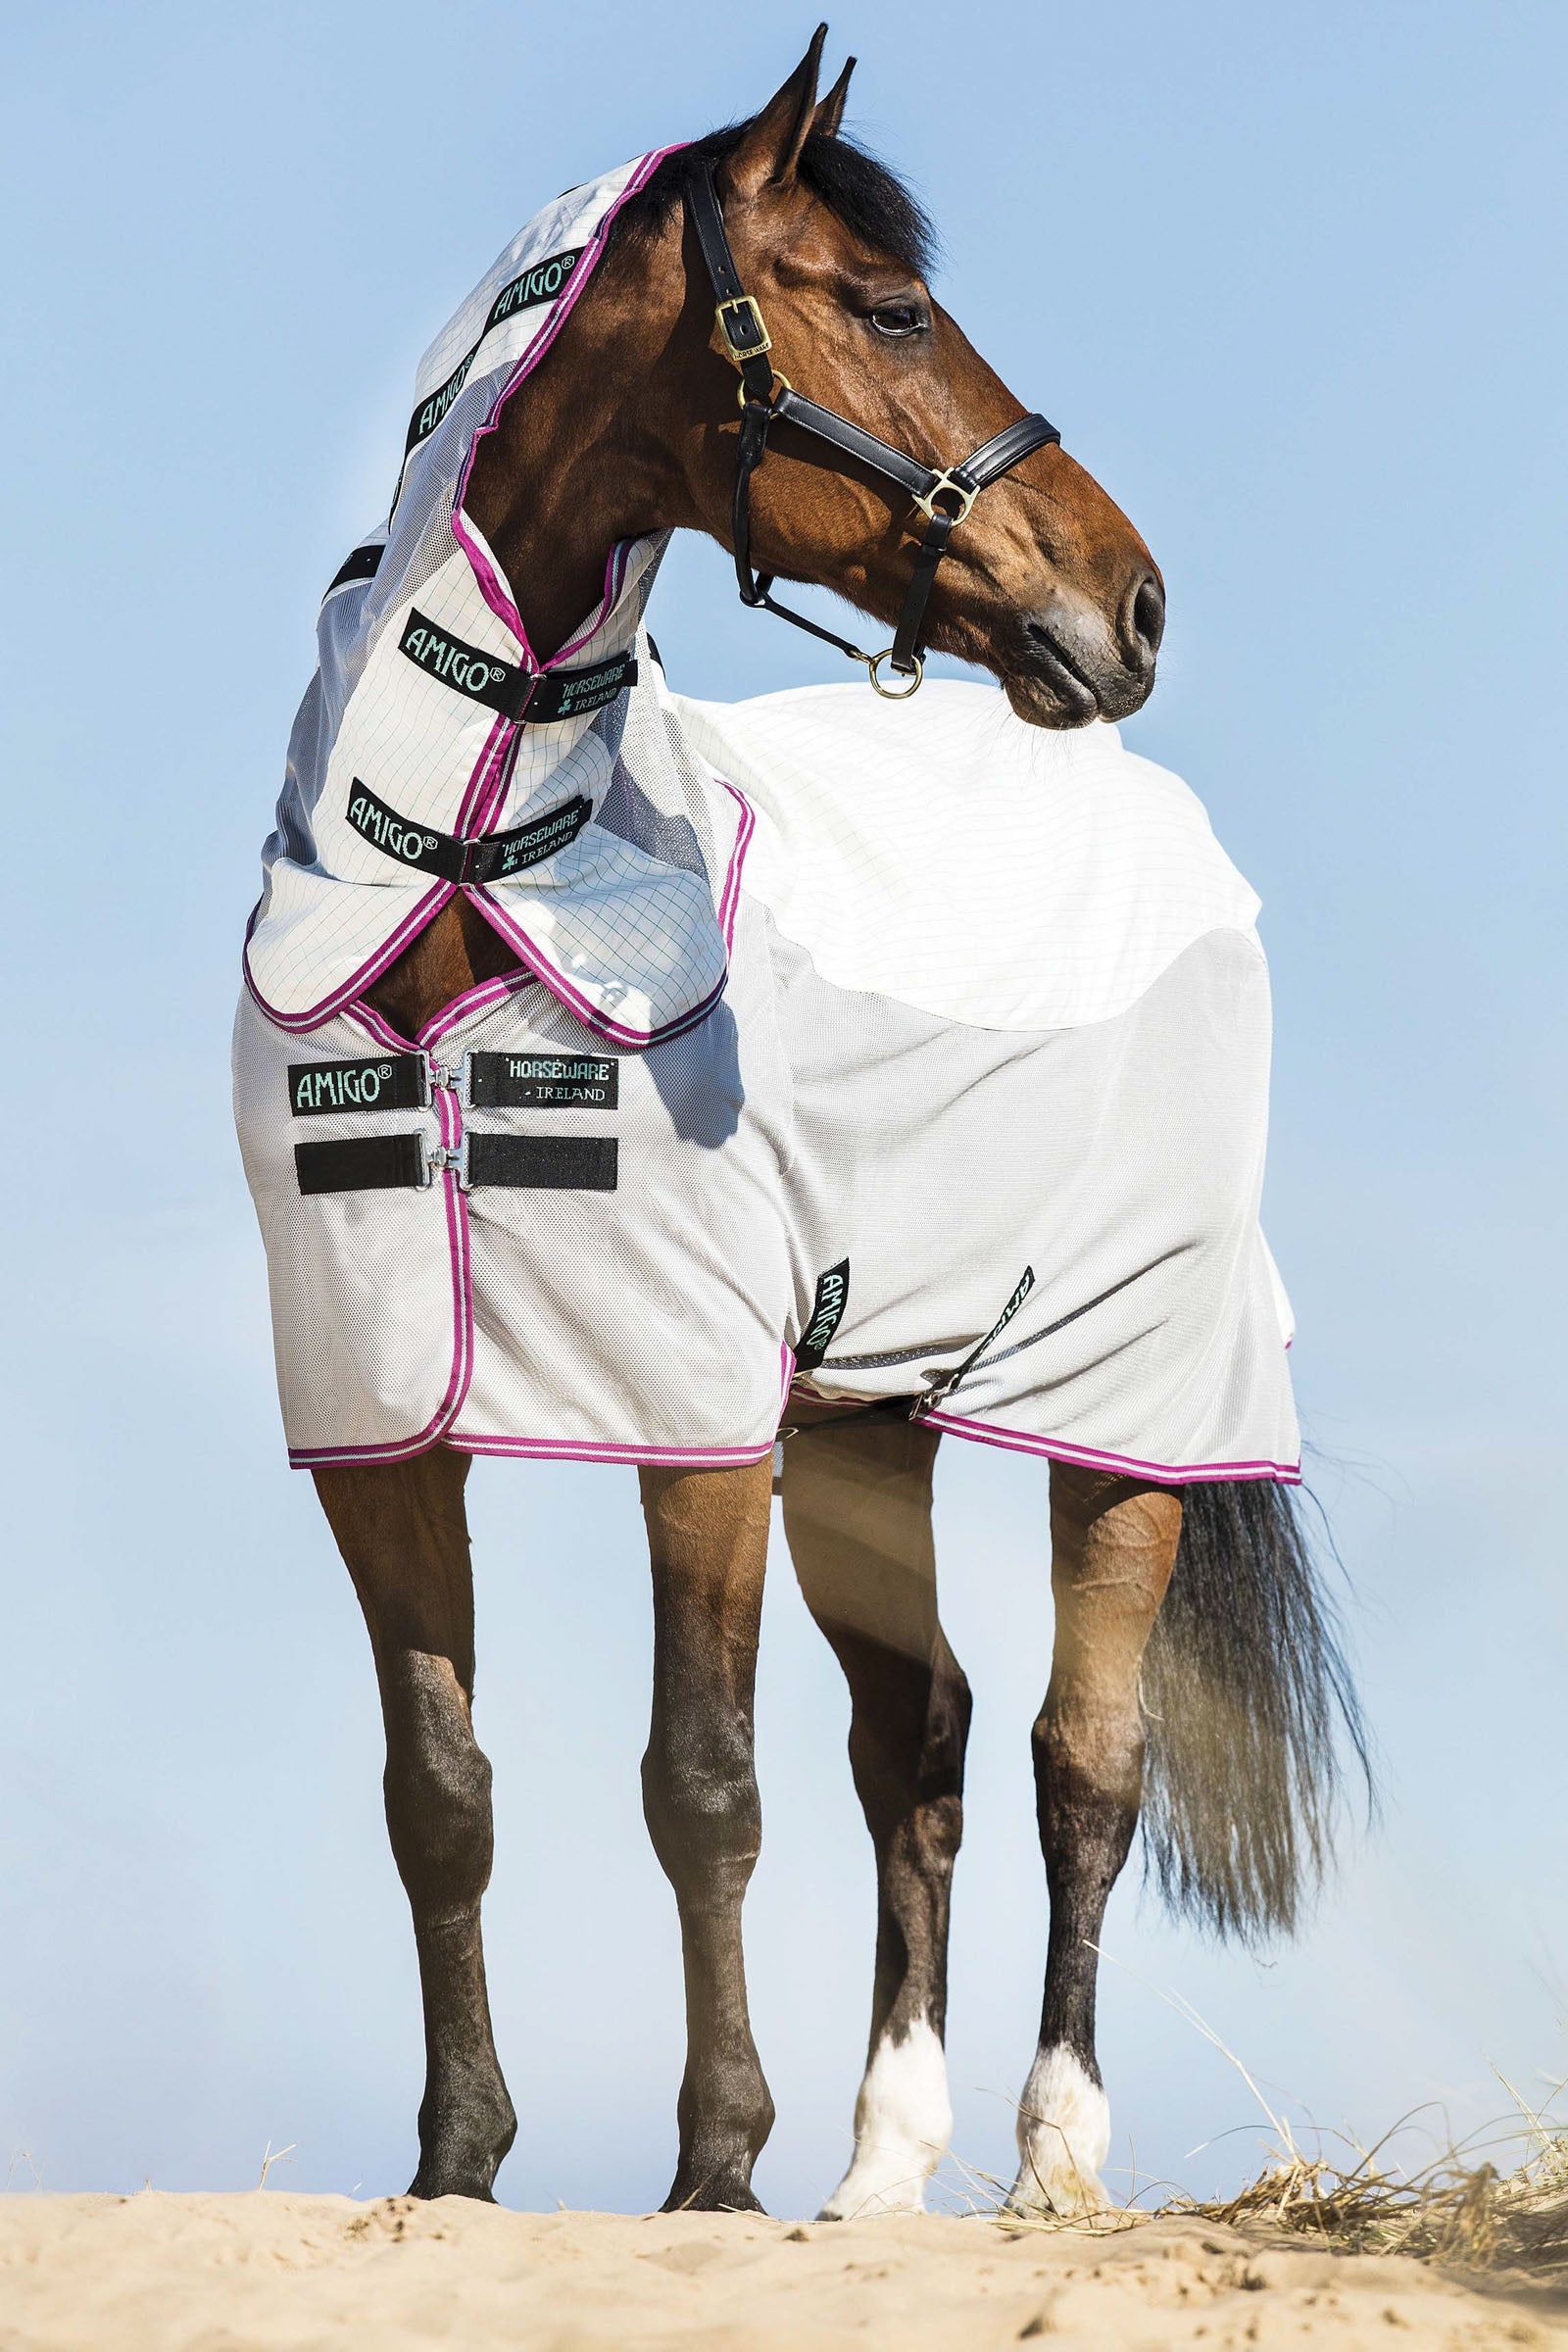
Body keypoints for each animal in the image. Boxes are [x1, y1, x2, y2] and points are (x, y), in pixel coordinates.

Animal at [248, 29, 1366, 2220]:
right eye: (893, 306)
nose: (1133, 607)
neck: (470, 859)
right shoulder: (385, 1420)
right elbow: (442, 1789)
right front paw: (459, 2163)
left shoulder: (694, 1424)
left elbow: (701, 1780)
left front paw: (710, 2168)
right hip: (864, 1420)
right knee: (920, 1747)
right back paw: (878, 2170)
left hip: (1122, 1417)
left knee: (1081, 1759)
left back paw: (1049, 2156)